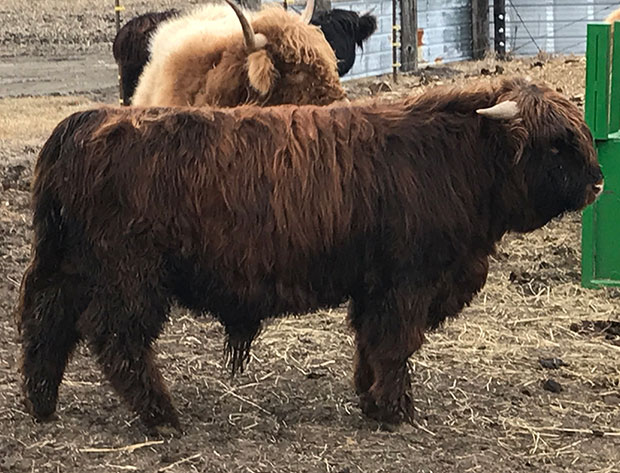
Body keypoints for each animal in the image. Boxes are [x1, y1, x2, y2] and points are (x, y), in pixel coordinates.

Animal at [17, 77, 604, 432]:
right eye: (556, 143)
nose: (598, 183)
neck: (454, 159)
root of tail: (85, 122)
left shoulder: (375, 284)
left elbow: (371, 343)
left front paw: (371, 402)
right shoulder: (407, 280)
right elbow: (395, 344)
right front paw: (397, 411)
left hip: (72, 264)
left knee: (47, 322)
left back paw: (41, 405)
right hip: (129, 272)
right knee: (116, 337)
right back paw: (162, 416)